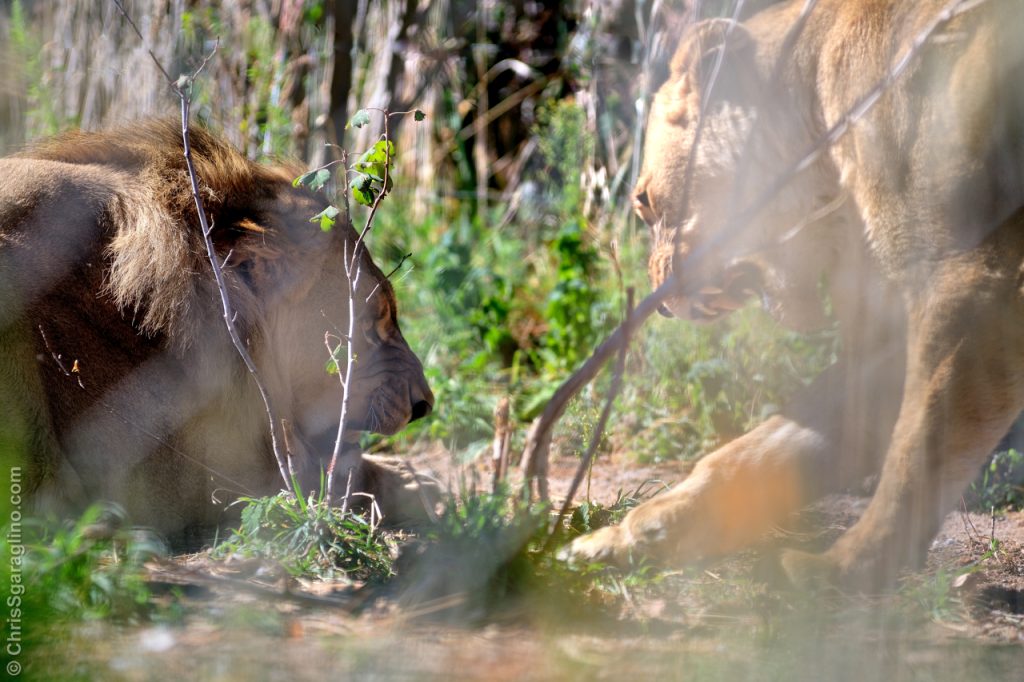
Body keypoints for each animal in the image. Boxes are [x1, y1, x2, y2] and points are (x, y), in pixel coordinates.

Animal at [566, 0, 1024, 590]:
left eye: (643, 201)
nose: (660, 300)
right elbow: (772, 444)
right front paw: (633, 533)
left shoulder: (974, 278)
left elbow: (915, 448)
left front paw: (846, 568)